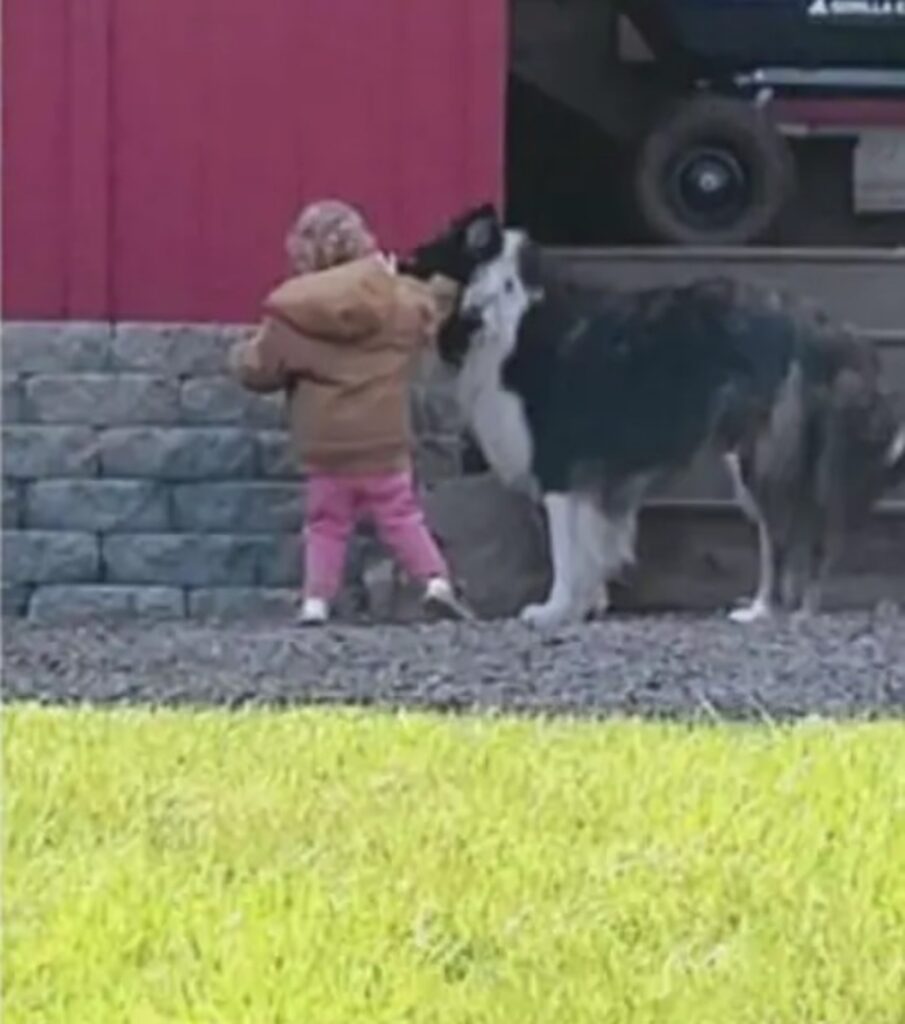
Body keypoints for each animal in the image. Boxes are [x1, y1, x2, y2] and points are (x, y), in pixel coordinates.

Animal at [407, 204, 900, 626]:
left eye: (419, 258)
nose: (397, 263)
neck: (496, 309)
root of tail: (822, 325)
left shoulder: (559, 464)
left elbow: (566, 552)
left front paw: (553, 612)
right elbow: (594, 550)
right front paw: (586, 606)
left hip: (763, 453)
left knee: (781, 535)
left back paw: (764, 612)